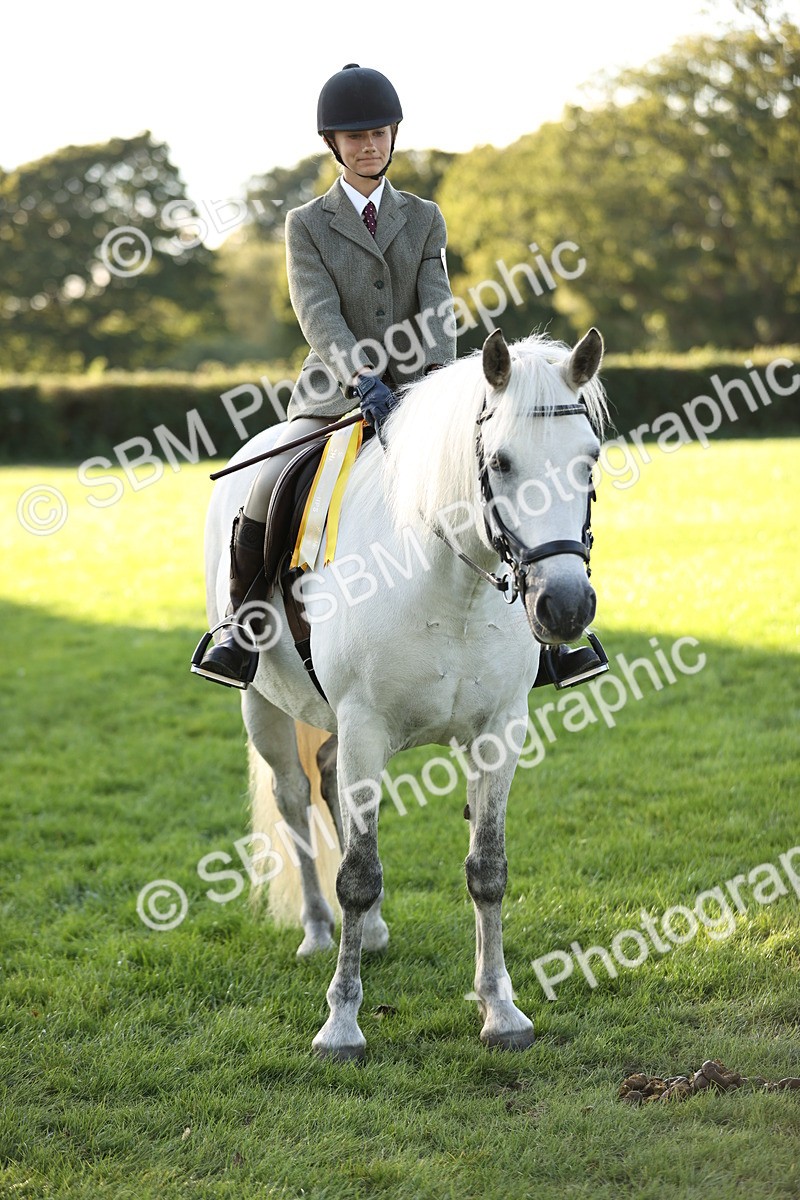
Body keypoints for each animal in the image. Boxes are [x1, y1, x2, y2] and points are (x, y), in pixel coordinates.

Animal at [200, 328, 608, 1060]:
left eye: (589, 460)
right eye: (500, 462)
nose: (565, 607)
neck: (452, 582)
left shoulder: (499, 731)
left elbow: (487, 869)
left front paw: (501, 1011)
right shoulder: (366, 726)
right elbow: (357, 875)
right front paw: (340, 1025)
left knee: (326, 778)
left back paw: (372, 934)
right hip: (264, 705)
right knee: (295, 798)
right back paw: (317, 930)